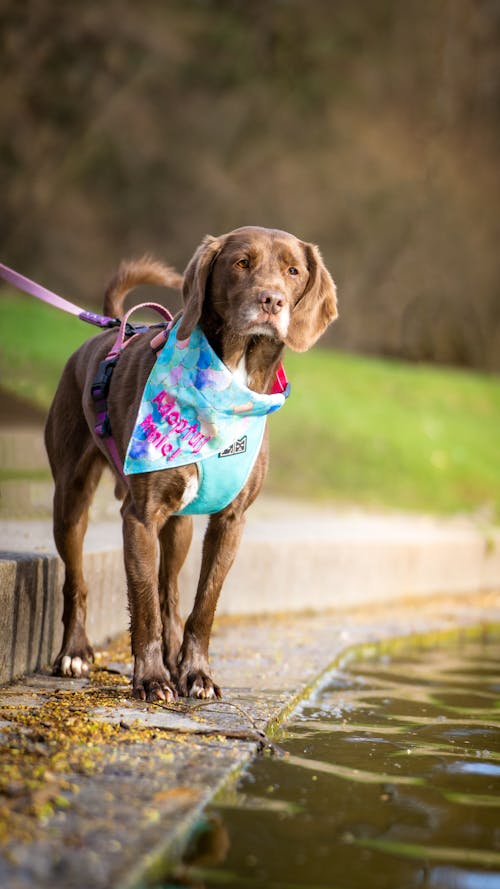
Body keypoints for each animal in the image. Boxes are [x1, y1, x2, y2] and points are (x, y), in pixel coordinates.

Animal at [45, 225, 338, 696]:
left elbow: (203, 603)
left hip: (179, 525)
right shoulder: (141, 517)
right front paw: (150, 679)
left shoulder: (231, 521)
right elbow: (144, 602)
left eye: (293, 271)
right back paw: (74, 652)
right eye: (241, 262)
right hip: (71, 497)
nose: (271, 300)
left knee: (171, 593)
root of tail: (111, 327)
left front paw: (195, 672)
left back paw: (173, 658)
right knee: (77, 579)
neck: (230, 380)